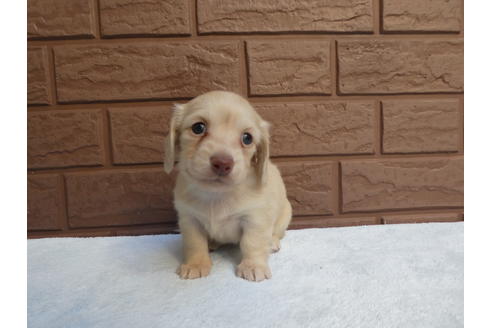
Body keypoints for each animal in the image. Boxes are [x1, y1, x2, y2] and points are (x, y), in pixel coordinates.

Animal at [163, 90, 292, 282]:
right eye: (198, 128)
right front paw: (196, 264)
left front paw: (253, 266)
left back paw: (272, 242)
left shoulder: (255, 219)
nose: (222, 163)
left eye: (247, 138)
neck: (216, 194)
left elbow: (252, 243)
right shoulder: (189, 219)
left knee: (276, 233)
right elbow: (195, 244)